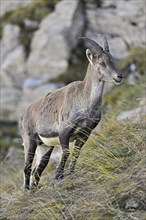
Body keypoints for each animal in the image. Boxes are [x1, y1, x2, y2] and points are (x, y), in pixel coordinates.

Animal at [19, 34, 122, 189]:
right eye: (102, 63)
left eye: (113, 60)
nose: (119, 76)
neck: (85, 101)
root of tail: (24, 114)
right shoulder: (64, 131)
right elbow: (66, 153)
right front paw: (58, 176)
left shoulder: (85, 133)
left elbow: (76, 153)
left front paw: (70, 172)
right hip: (30, 140)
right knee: (27, 167)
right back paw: (26, 190)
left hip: (45, 146)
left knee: (37, 169)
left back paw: (34, 189)